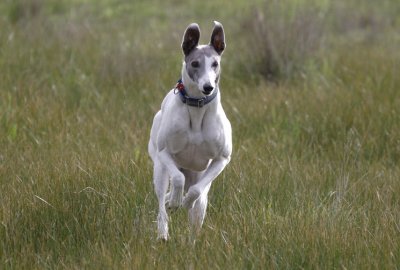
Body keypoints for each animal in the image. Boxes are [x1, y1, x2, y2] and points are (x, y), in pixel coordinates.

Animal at [148, 21, 233, 240]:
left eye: (215, 64)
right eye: (195, 63)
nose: (208, 87)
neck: (197, 109)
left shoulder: (221, 160)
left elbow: (195, 192)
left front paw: (185, 201)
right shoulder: (164, 152)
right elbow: (178, 178)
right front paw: (175, 201)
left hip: (202, 186)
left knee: (197, 204)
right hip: (160, 170)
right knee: (162, 202)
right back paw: (164, 230)